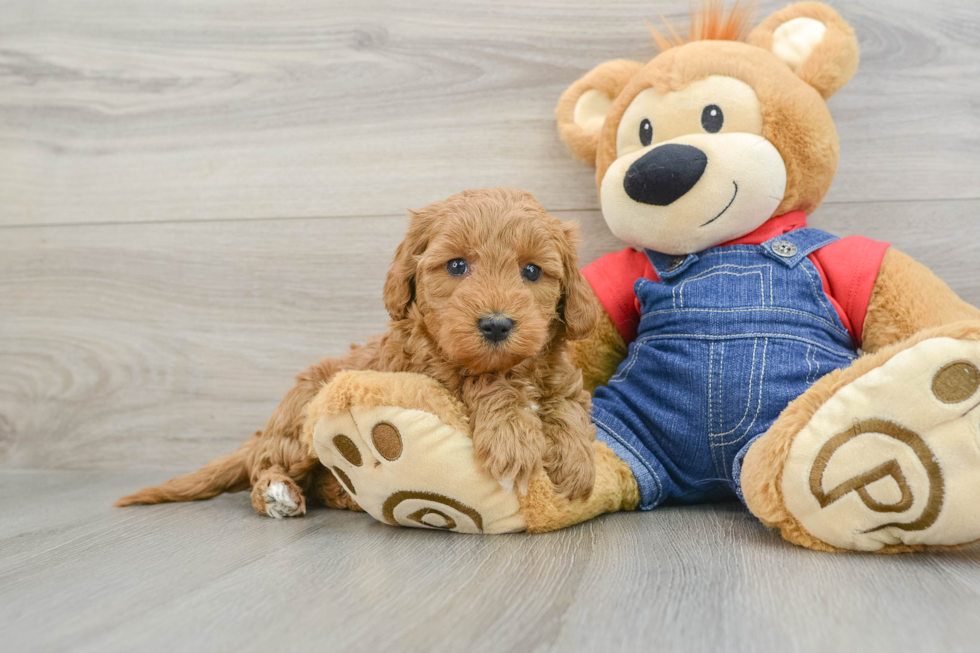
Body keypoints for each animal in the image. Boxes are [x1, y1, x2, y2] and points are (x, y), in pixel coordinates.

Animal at [118, 187, 600, 516]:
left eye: (532, 271)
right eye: (457, 265)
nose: (497, 324)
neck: (517, 367)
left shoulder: (560, 376)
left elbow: (566, 405)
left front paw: (576, 462)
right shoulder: (430, 368)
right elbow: (482, 379)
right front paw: (513, 438)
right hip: (299, 421)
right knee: (264, 463)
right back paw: (277, 493)